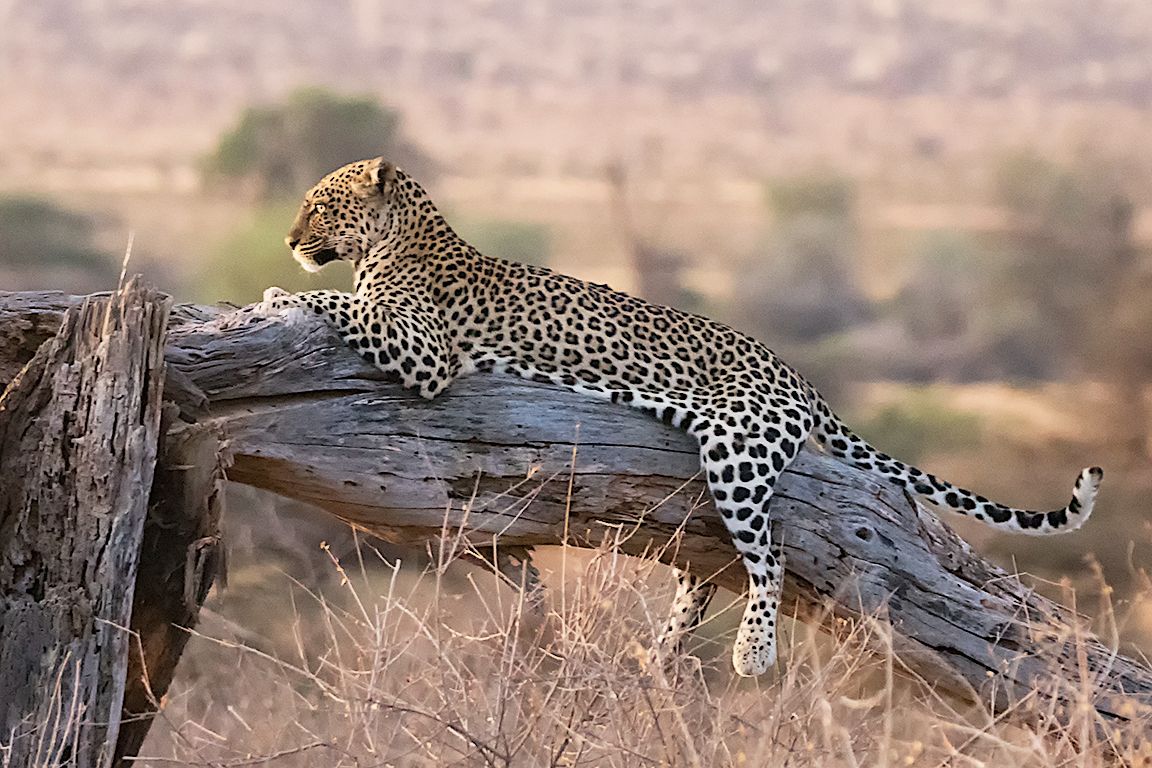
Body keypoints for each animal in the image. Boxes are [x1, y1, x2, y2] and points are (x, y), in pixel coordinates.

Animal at [259, 156, 1103, 677]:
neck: (398, 240)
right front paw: (280, 288)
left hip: (735, 446)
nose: (289, 240)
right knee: (706, 571)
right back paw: (657, 655)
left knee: (769, 558)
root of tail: (800, 377)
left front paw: (278, 292)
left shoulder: (427, 352)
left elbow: (338, 303)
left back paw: (752, 654)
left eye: (318, 205)